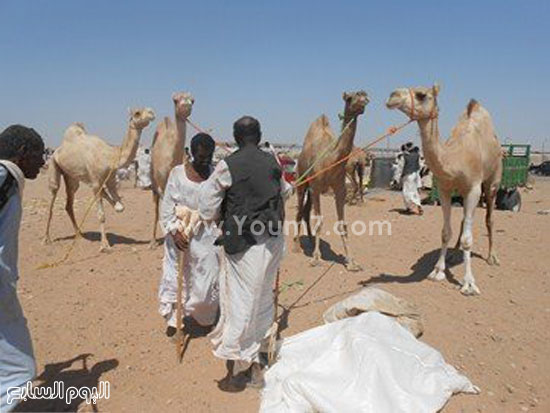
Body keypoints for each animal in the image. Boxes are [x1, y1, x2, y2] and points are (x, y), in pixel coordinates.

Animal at [42, 108, 155, 249]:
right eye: (137, 113)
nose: (151, 113)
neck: (110, 156)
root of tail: (57, 150)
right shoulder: (96, 182)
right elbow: (101, 215)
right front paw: (104, 245)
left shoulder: (110, 179)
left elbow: (120, 206)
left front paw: (117, 205)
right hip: (53, 164)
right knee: (53, 197)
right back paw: (46, 238)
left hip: (71, 177)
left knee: (69, 203)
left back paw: (79, 234)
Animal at [150, 90, 195, 246]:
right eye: (175, 100)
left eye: (193, 100)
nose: (186, 105)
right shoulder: (163, 185)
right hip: (154, 184)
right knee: (156, 208)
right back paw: (153, 241)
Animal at [294, 90, 370, 270]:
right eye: (349, 98)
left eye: (364, 95)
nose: (363, 98)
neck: (330, 160)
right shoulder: (315, 187)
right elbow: (319, 222)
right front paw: (316, 258)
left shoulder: (339, 189)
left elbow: (343, 224)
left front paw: (351, 261)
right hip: (301, 181)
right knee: (299, 211)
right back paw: (297, 247)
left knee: (306, 212)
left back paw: (310, 240)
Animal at [388, 85, 504, 294]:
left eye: (422, 95)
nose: (393, 96)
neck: (456, 158)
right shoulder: (445, 189)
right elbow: (445, 232)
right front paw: (438, 270)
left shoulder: (473, 189)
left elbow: (468, 238)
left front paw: (468, 283)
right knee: (464, 221)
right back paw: (454, 253)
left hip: (492, 181)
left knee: (489, 218)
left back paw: (492, 257)